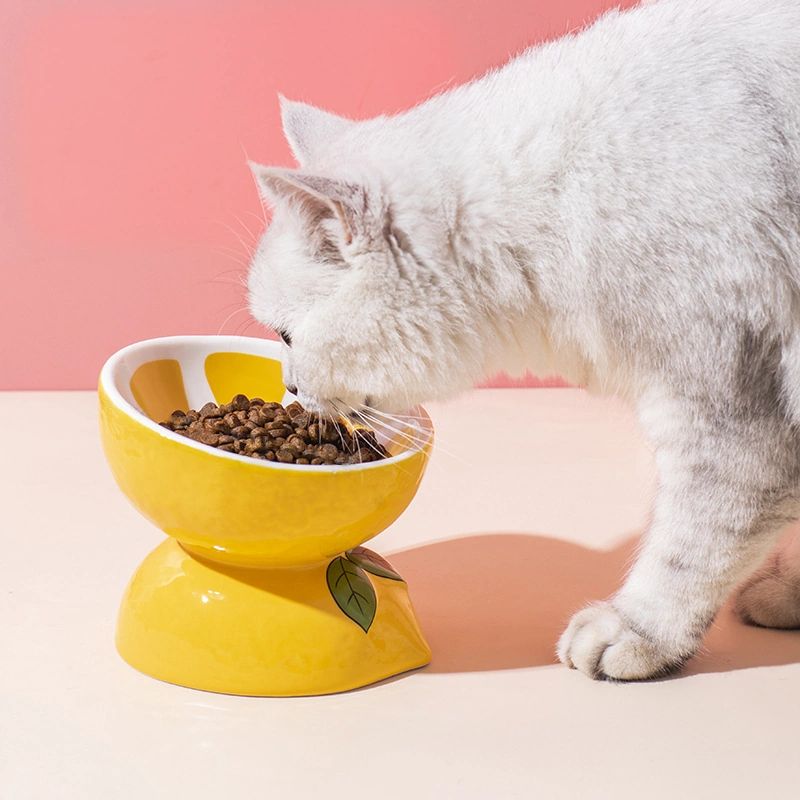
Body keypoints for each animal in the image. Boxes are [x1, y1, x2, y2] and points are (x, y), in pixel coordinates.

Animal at [247, 0, 800, 680]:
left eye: (285, 334)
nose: (290, 387)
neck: (568, 192)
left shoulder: (727, 406)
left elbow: (690, 545)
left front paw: (638, 633)